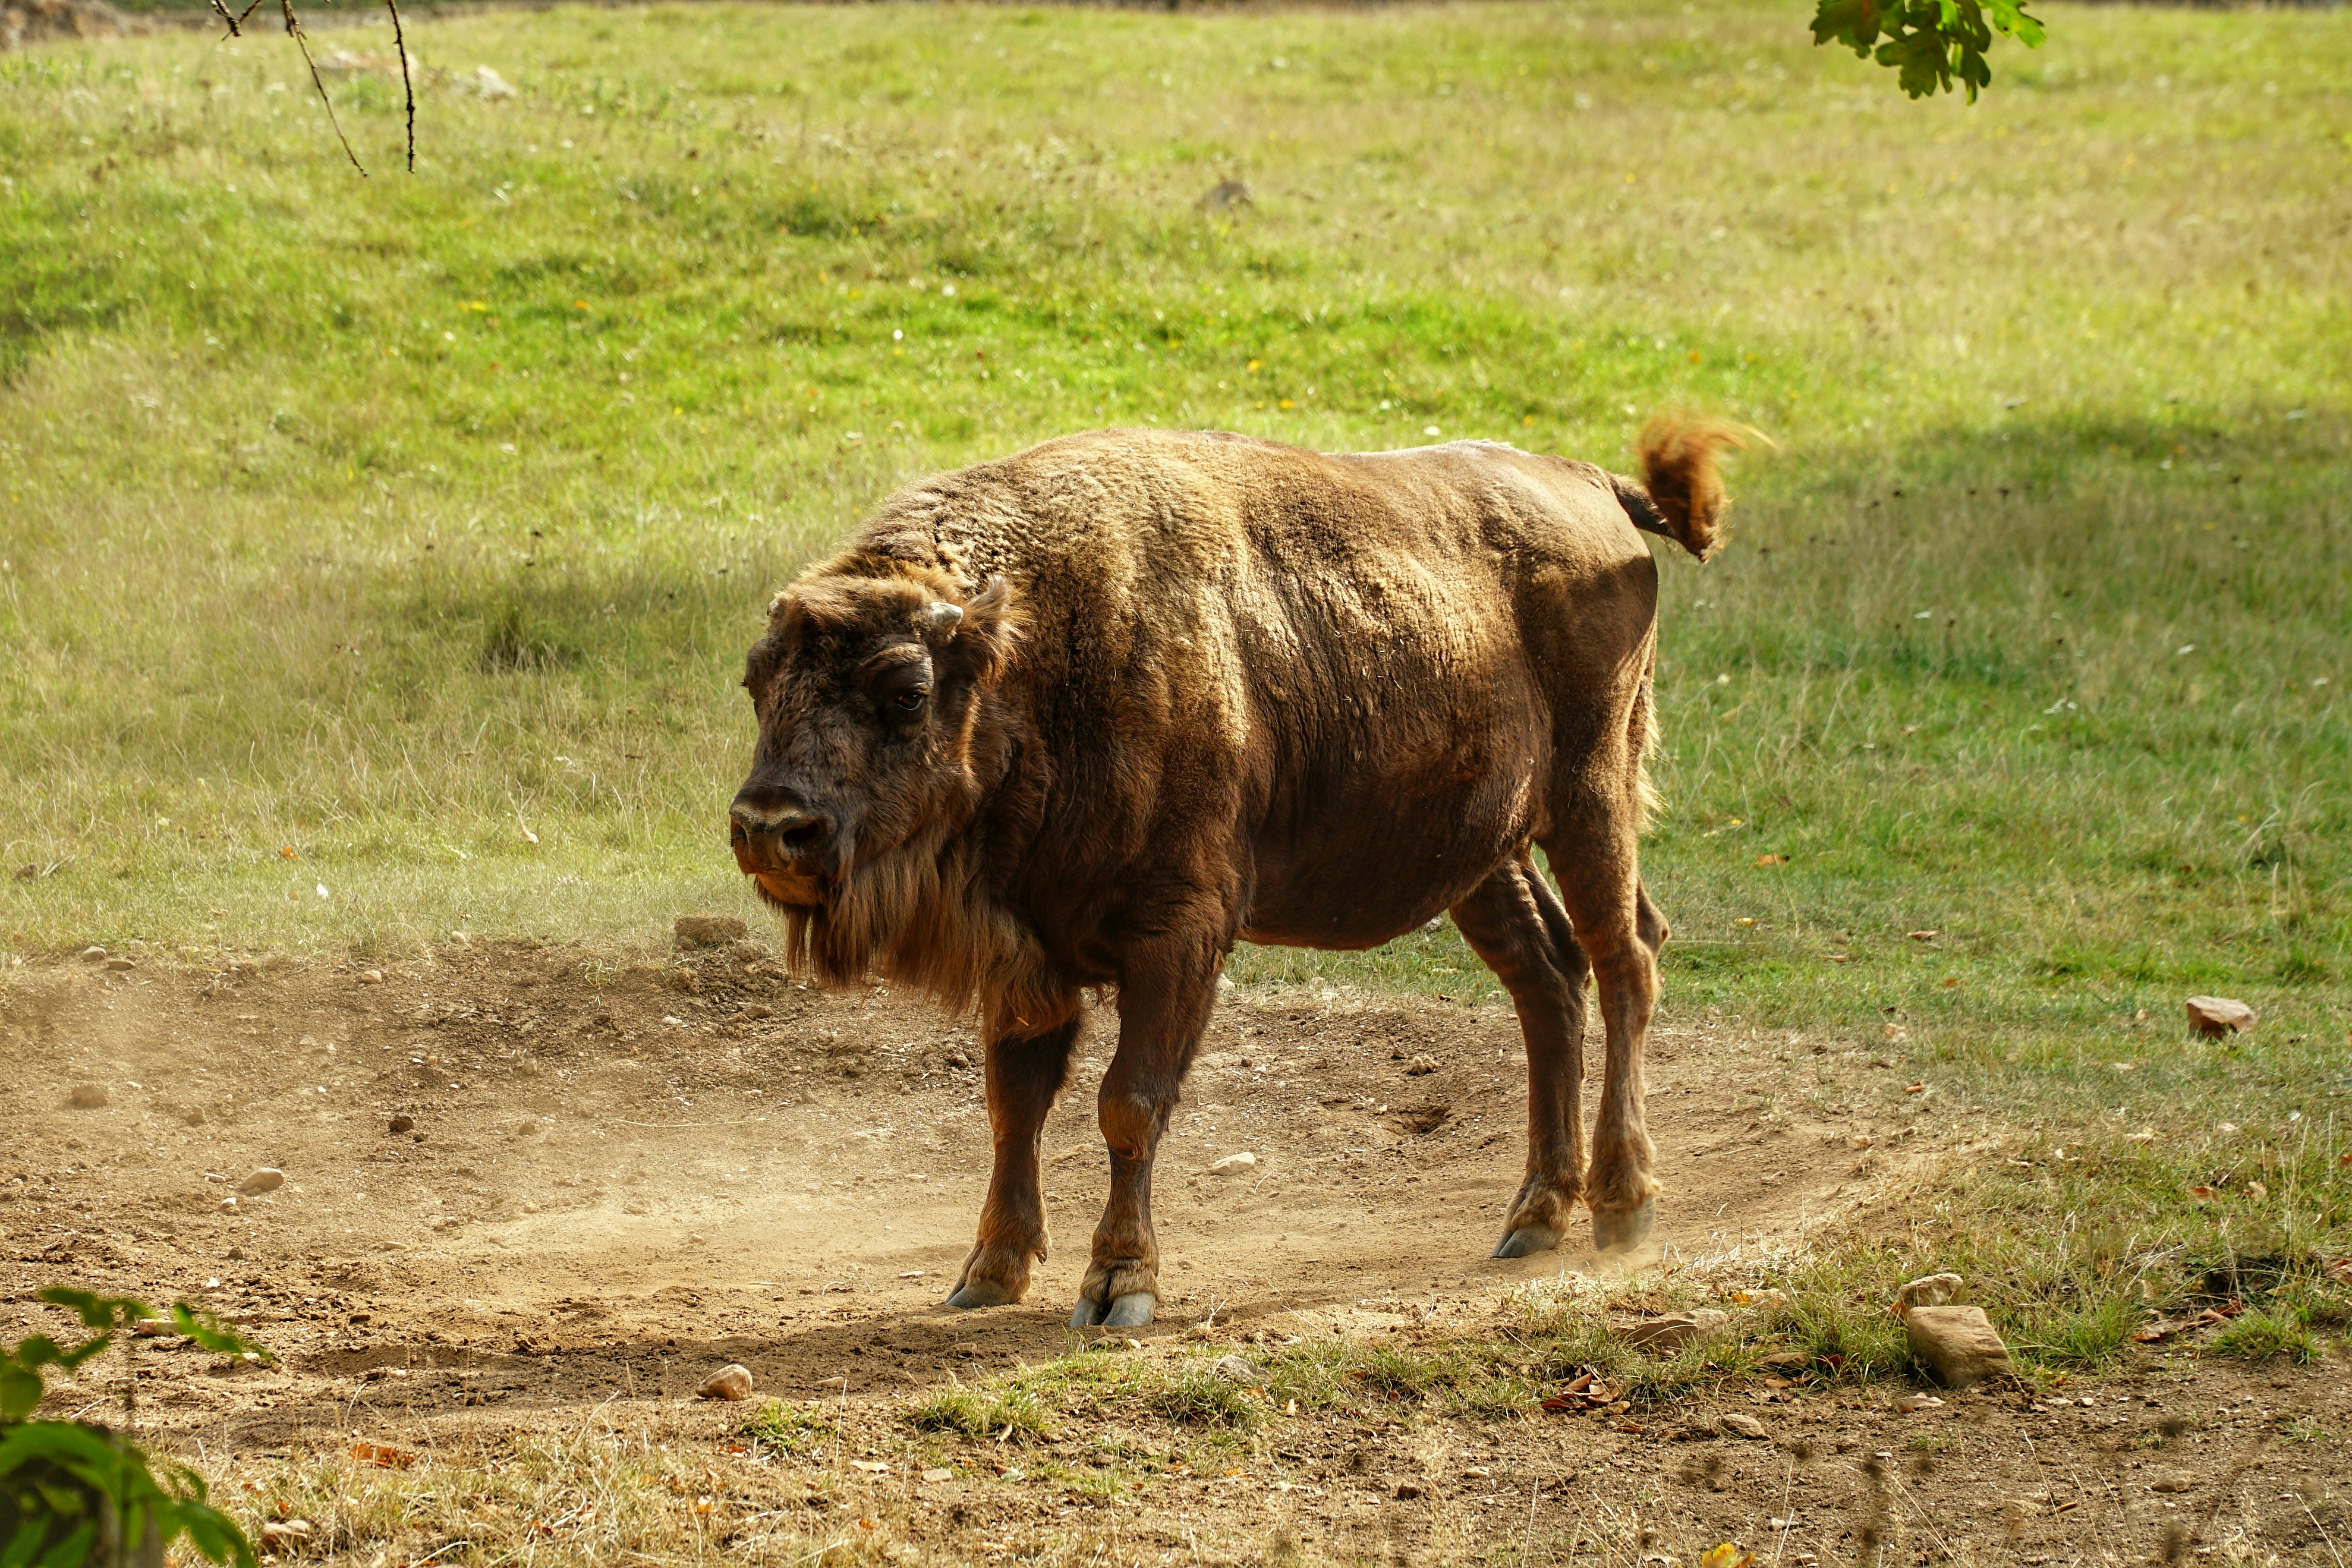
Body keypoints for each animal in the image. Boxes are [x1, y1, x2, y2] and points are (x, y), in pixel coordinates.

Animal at [730, 418, 1736, 1328]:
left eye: (905, 691)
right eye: (756, 681)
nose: (769, 827)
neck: (1032, 650)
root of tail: (1590, 485)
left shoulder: (1177, 935)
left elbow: (1127, 1102)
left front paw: (1118, 1288)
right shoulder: (1029, 955)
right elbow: (1013, 1104)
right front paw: (987, 1272)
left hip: (1589, 796)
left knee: (1623, 958)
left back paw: (1623, 1203)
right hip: (1484, 855)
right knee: (1547, 978)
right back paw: (1532, 1218)